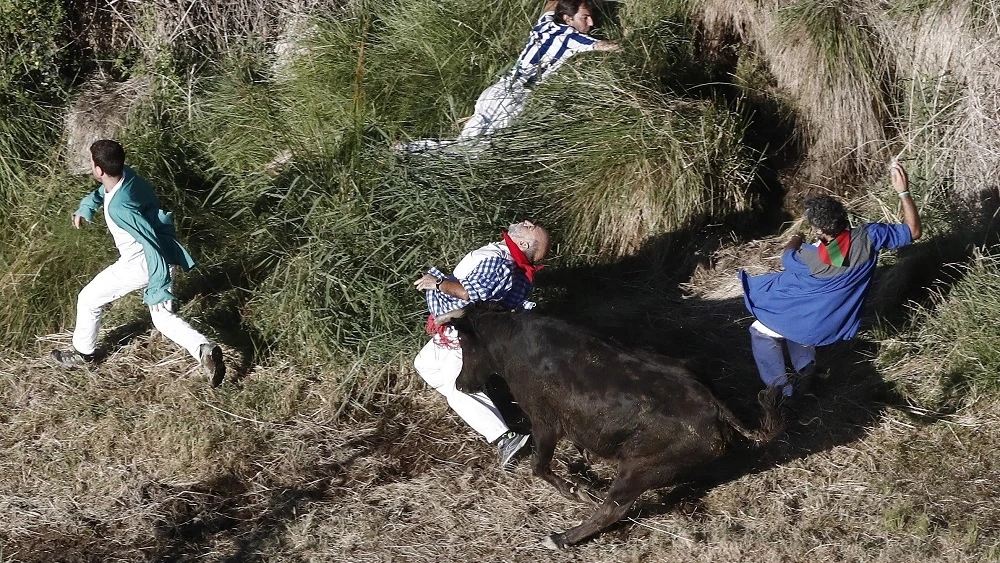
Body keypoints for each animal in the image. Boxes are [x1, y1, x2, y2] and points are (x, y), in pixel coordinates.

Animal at [442, 306, 776, 548]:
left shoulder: (545, 423)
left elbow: (539, 465)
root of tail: (713, 404)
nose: (460, 384)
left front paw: (578, 492)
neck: (511, 343)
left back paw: (560, 538)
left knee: (613, 508)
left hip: (637, 468)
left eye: (464, 344)